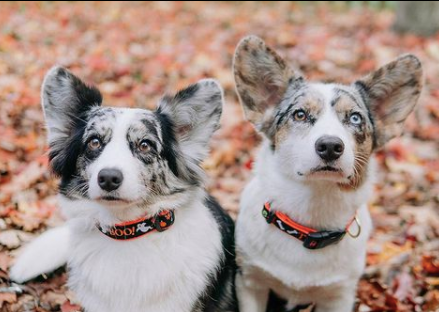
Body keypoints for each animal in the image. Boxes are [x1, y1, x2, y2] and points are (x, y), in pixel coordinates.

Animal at [234, 36, 422, 312]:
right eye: (300, 114)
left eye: (355, 118)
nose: (331, 146)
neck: (313, 211)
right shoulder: (251, 282)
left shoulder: (338, 296)